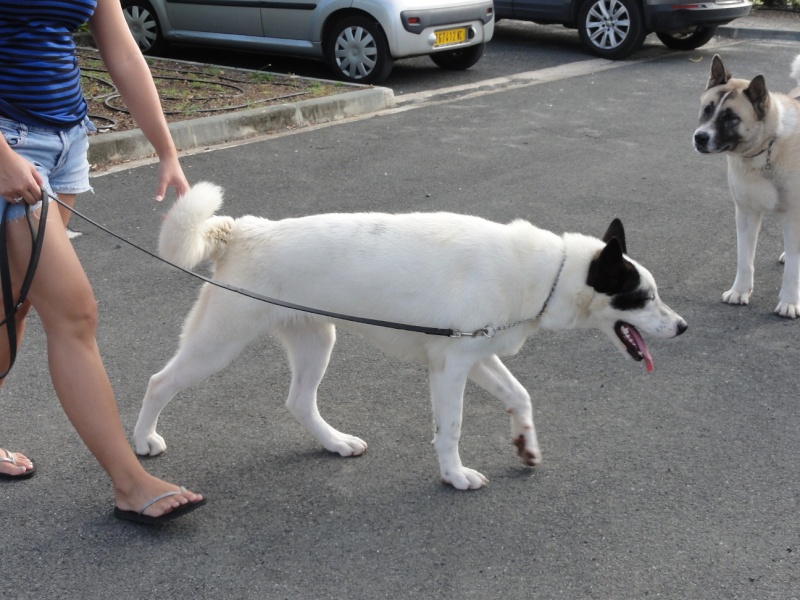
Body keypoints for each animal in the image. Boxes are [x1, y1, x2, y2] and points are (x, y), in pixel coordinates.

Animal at [133, 182, 688, 488]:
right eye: (642, 297)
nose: (683, 327)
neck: (549, 272)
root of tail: (244, 229)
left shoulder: (476, 356)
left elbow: (521, 396)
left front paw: (525, 445)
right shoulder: (451, 370)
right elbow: (452, 429)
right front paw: (454, 476)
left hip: (317, 340)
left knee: (298, 402)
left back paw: (334, 443)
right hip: (218, 344)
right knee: (159, 383)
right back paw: (142, 441)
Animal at [692, 55, 800, 318]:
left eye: (731, 118)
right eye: (707, 109)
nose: (699, 138)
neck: (768, 148)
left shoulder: (794, 215)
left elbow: (793, 266)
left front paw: (790, 302)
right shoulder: (746, 214)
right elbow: (744, 259)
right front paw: (740, 291)